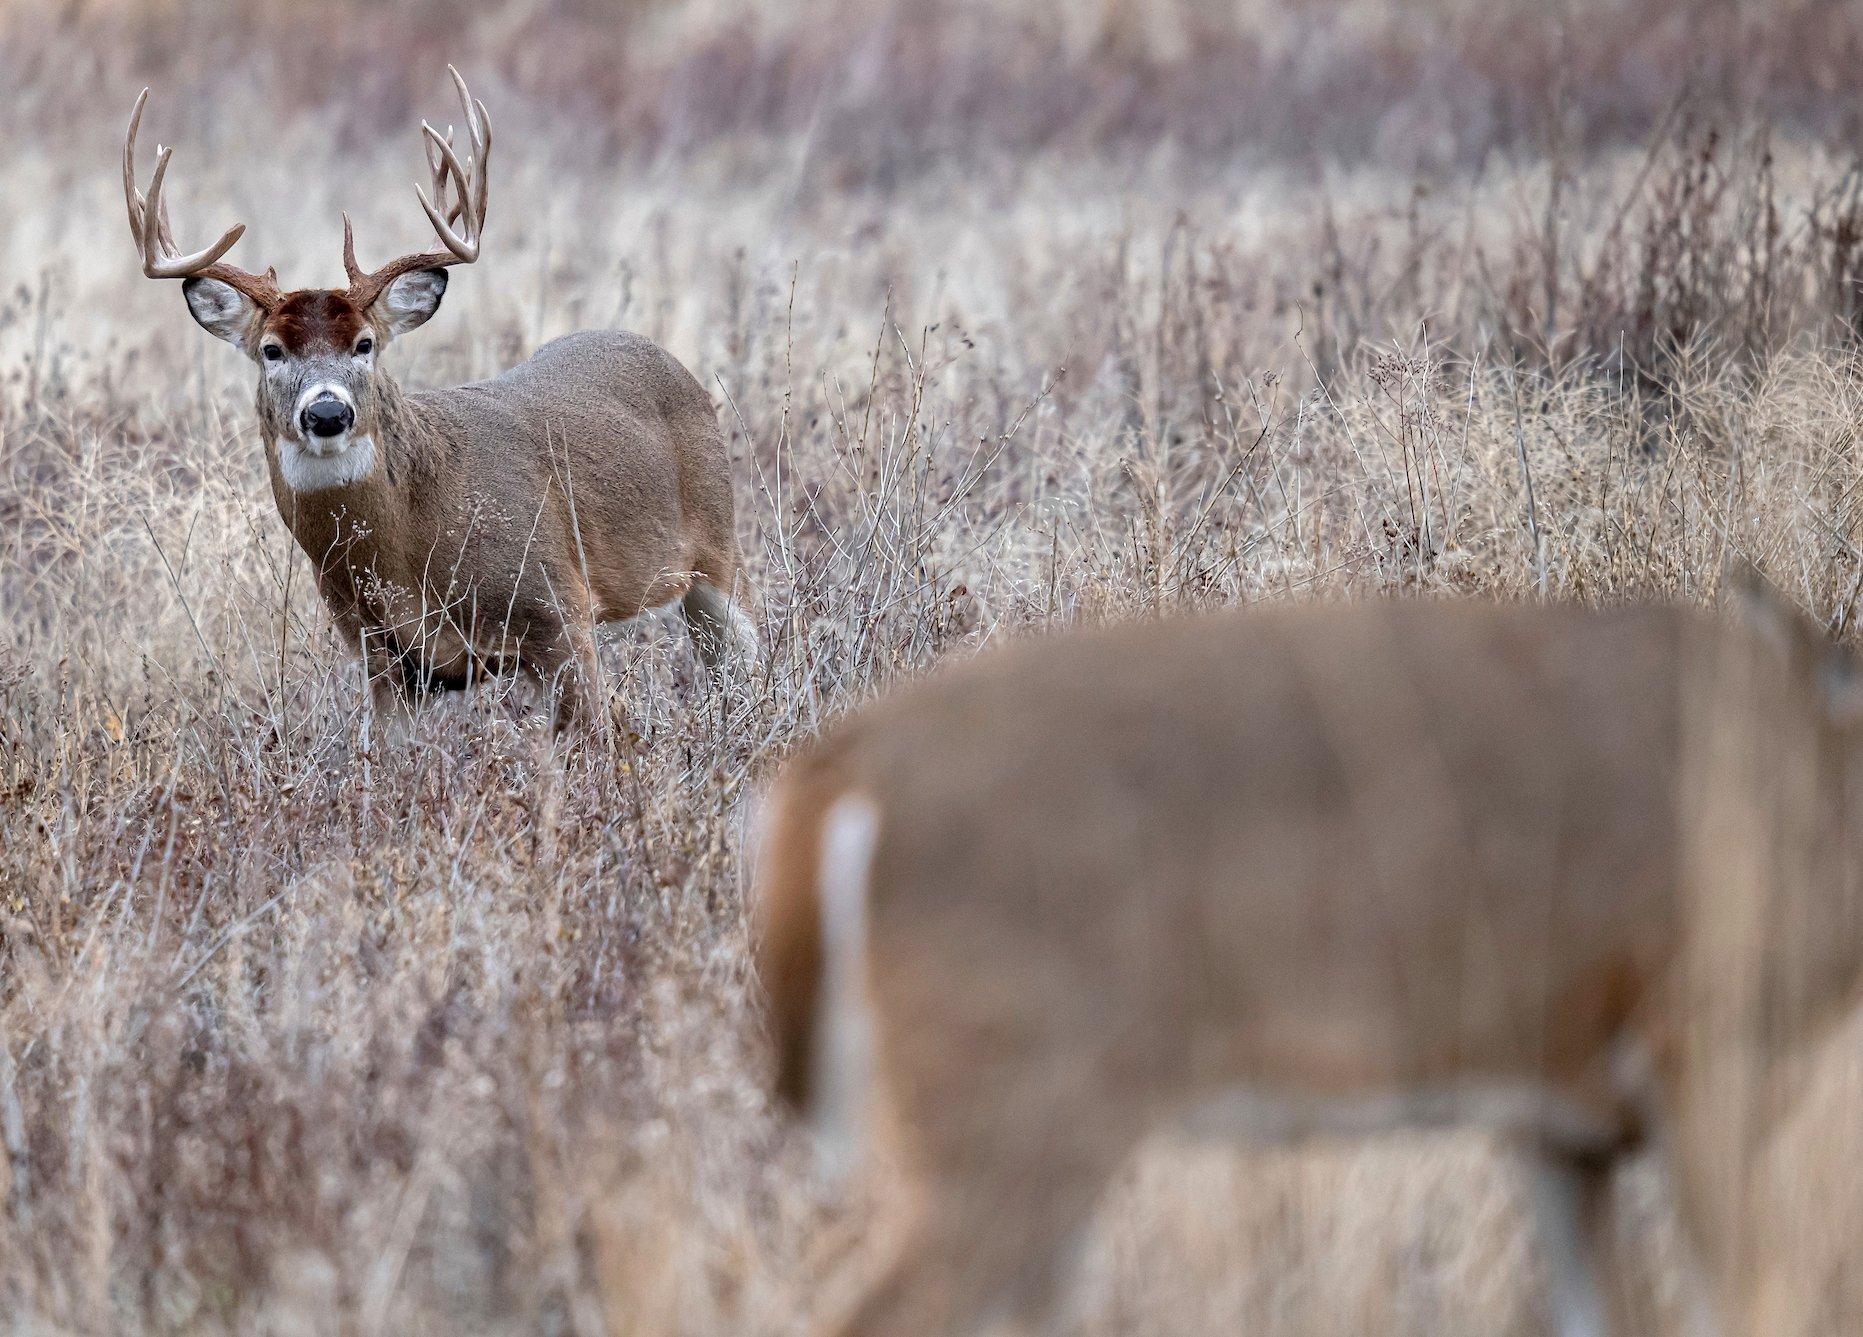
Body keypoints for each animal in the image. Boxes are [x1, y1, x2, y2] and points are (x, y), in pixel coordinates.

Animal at [123, 67, 756, 737]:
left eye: (366, 343)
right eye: (271, 350)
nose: (327, 413)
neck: (411, 548)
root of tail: (669, 360)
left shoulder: (558, 607)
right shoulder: (381, 657)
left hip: (718, 550)